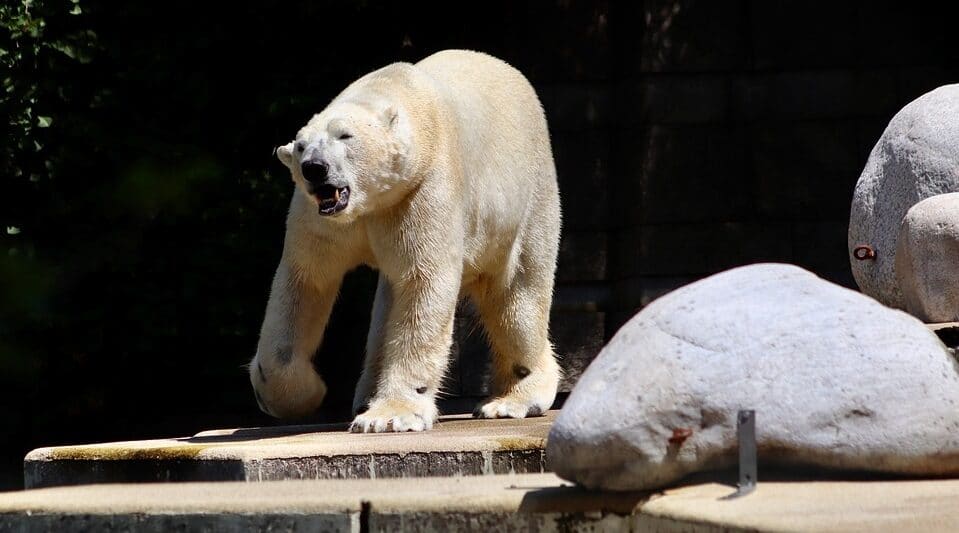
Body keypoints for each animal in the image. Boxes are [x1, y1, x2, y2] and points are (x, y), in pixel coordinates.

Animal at [248, 50, 564, 432]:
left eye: (345, 136)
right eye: (301, 146)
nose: (315, 167)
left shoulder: (422, 187)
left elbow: (422, 283)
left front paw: (389, 416)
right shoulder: (321, 218)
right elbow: (306, 279)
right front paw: (304, 393)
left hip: (529, 197)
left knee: (518, 295)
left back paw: (513, 399)